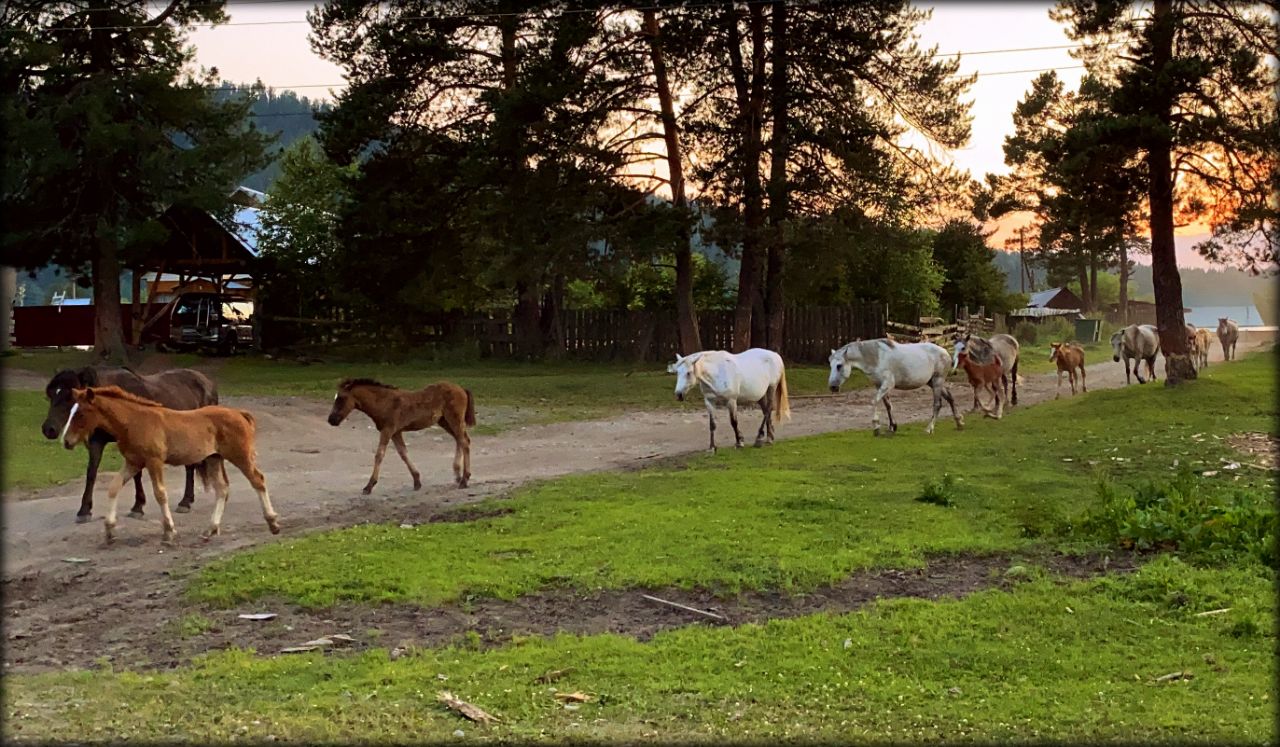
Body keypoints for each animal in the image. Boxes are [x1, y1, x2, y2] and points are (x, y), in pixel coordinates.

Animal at [41, 365, 217, 521]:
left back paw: (185, 502)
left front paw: (138, 507)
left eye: (69, 398)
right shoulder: (97, 441)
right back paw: (187, 500)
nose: (48, 429)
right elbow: (91, 473)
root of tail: (207, 382)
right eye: (51, 396)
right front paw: (84, 510)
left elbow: (136, 474)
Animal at [60, 386, 280, 542]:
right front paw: (109, 529)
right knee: (222, 489)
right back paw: (210, 529)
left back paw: (273, 523)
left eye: (80, 414)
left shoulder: (154, 461)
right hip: (214, 458)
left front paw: (169, 531)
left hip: (239, 455)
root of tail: (240, 413)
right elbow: (114, 487)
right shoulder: (133, 462)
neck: (134, 422)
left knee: (258, 480)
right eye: (70, 412)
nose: (66, 442)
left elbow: (160, 493)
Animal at [325, 378, 476, 496]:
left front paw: (369, 486)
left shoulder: (388, 430)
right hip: (444, 421)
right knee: (461, 440)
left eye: (341, 398)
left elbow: (379, 454)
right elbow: (403, 453)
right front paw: (417, 481)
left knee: (464, 441)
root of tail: (461, 388)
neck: (383, 402)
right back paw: (458, 475)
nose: (331, 420)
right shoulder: (396, 432)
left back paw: (464, 479)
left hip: (454, 419)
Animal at [829, 335, 962, 434]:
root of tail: (946, 353)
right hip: (933, 382)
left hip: (937, 381)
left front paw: (876, 427)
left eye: (839, 366)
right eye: (831, 365)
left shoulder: (888, 384)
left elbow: (874, 401)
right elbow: (888, 405)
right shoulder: (879, 385)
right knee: (950, 397)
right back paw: (959, 422)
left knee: (937, 405)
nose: (832, 387)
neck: (876, 357)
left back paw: (929, 429)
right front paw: (893, 426)